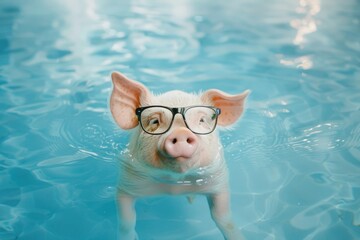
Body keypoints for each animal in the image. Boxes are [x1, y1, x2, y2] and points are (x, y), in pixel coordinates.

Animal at [110, 71, 250, 240]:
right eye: (154, 121)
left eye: (202, 120)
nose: (181, 132)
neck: (175, 187)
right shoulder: (127, 181)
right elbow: (126, 220)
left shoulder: (218, 179)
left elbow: (223, 217)